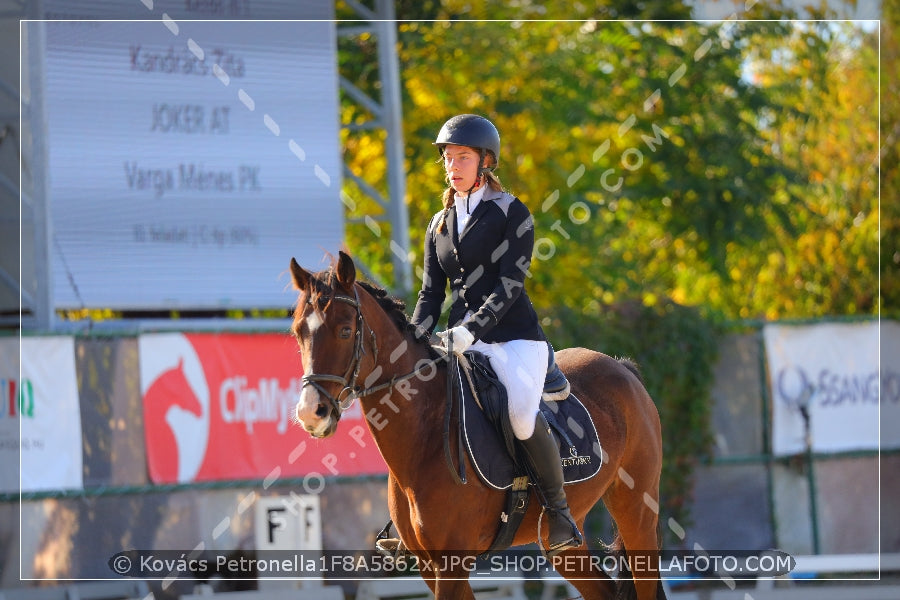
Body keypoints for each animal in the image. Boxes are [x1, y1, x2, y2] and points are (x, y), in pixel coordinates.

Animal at [292, 253, 664, 600]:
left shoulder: (452, 563)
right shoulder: (430, 566)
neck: (424, 435)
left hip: (637, 512)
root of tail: (622, 368)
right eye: (298, 332)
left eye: (345, 330)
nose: (312, 412)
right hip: (565, 543)